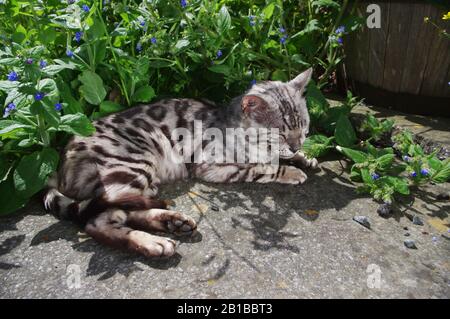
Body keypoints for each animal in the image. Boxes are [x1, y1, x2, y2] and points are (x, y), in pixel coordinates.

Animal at [42, 69, 316, 258]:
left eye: (303, 126)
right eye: (281, 133)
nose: (296, 145)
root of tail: (60, 164)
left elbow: (278, 157)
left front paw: (305, 158)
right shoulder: (213, 166)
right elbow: (263, 167)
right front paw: (292, 171)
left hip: (142, 181)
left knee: (125, 209)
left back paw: (172, 223)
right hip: (134, 165)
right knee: (98, 222)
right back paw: (153, 242)